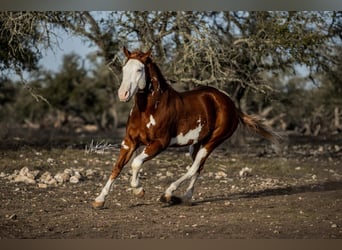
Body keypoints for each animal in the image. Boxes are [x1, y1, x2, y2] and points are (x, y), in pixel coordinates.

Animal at [91, 47, 280, 209]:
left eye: (139, 70)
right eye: (124, 69)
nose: (123, 94)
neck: (150, 110)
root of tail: (231, 105)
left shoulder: (160, 143)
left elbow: (136, 163)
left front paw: (138, 190)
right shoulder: (129, 142)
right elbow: (117, 167)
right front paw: (99, 200)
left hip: (213, 141)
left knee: (194, 168)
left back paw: (168, 194)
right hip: (196, 144)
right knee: (199, 168)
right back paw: (185, 198)